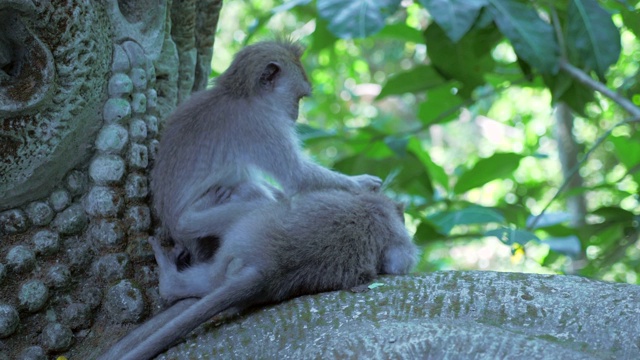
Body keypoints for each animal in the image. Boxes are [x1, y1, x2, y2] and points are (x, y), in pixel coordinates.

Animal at [149, 39, 380, 264]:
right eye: (299, 97)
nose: (296, 114)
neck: (241, 94)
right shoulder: (262, 124)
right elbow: (297, 177)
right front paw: (363, 183)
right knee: (251, 192)